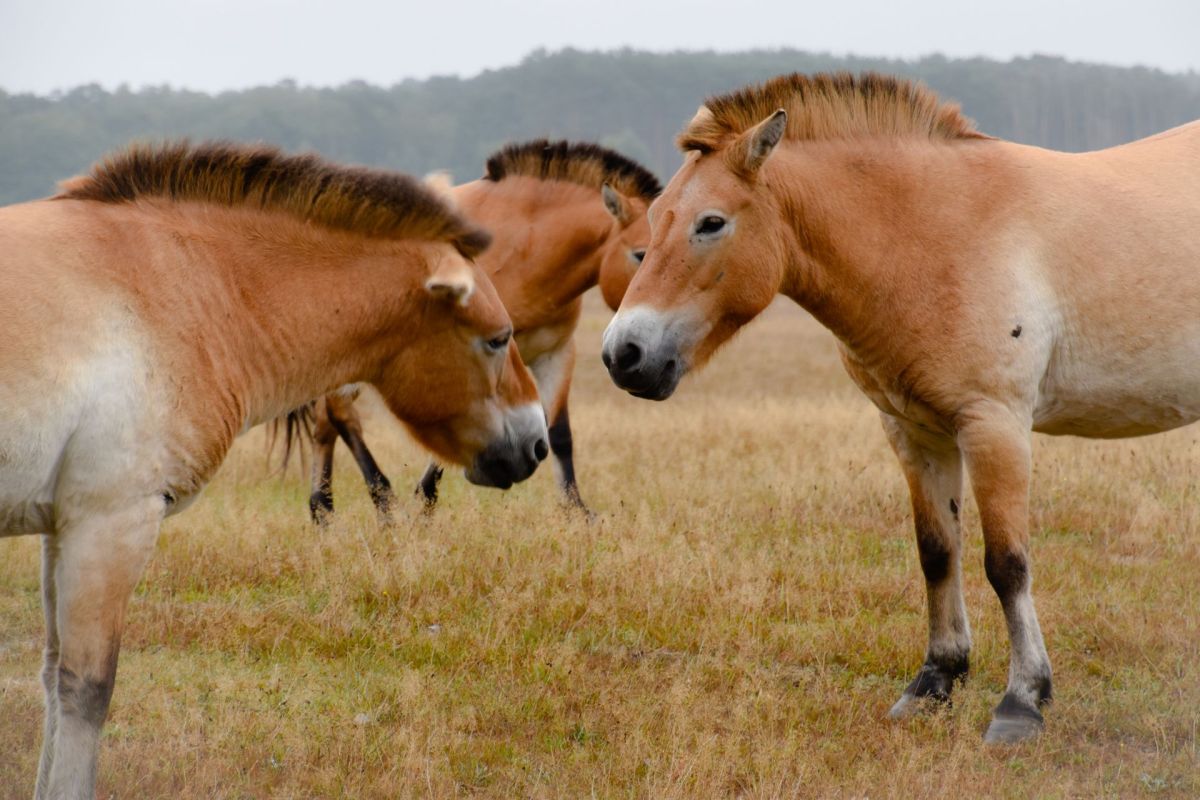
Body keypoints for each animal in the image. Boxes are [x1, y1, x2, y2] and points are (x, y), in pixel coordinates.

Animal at [0, 140, 548, 799]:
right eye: (497, 339)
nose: (538, 443)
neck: (173, 285)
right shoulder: (109, 525)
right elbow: (87, 691)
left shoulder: (63, 529)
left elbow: (54, 680)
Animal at [304, 140, 659, 521]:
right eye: (641, 253)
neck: (527, 247)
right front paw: (424, 498)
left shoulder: (556, 352)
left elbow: (559, 434)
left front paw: (576, 510)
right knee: (341, 415)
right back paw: (383, 503)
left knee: (324, 423)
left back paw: (323, 508)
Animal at [601, 72, 1200, 744]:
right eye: (654, 222)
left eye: (710, 222)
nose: (623, 354)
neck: (937, 232)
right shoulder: (915, 433)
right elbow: (937, 553)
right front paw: (934, 682)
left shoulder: (995, 427)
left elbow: (1007, 564)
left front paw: (1021, 702)